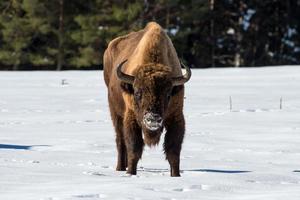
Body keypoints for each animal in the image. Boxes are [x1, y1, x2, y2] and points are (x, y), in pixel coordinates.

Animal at [103, 21, 191, 177]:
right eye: (137, 93)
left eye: (168, 94)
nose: (153, 118)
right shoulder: (130, 117)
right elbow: (134, 149)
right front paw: (131, 173)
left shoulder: (176, 117)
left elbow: (173, 151)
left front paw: (176, 175)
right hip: (116, 114)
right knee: (120, 140)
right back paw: (121, 167)